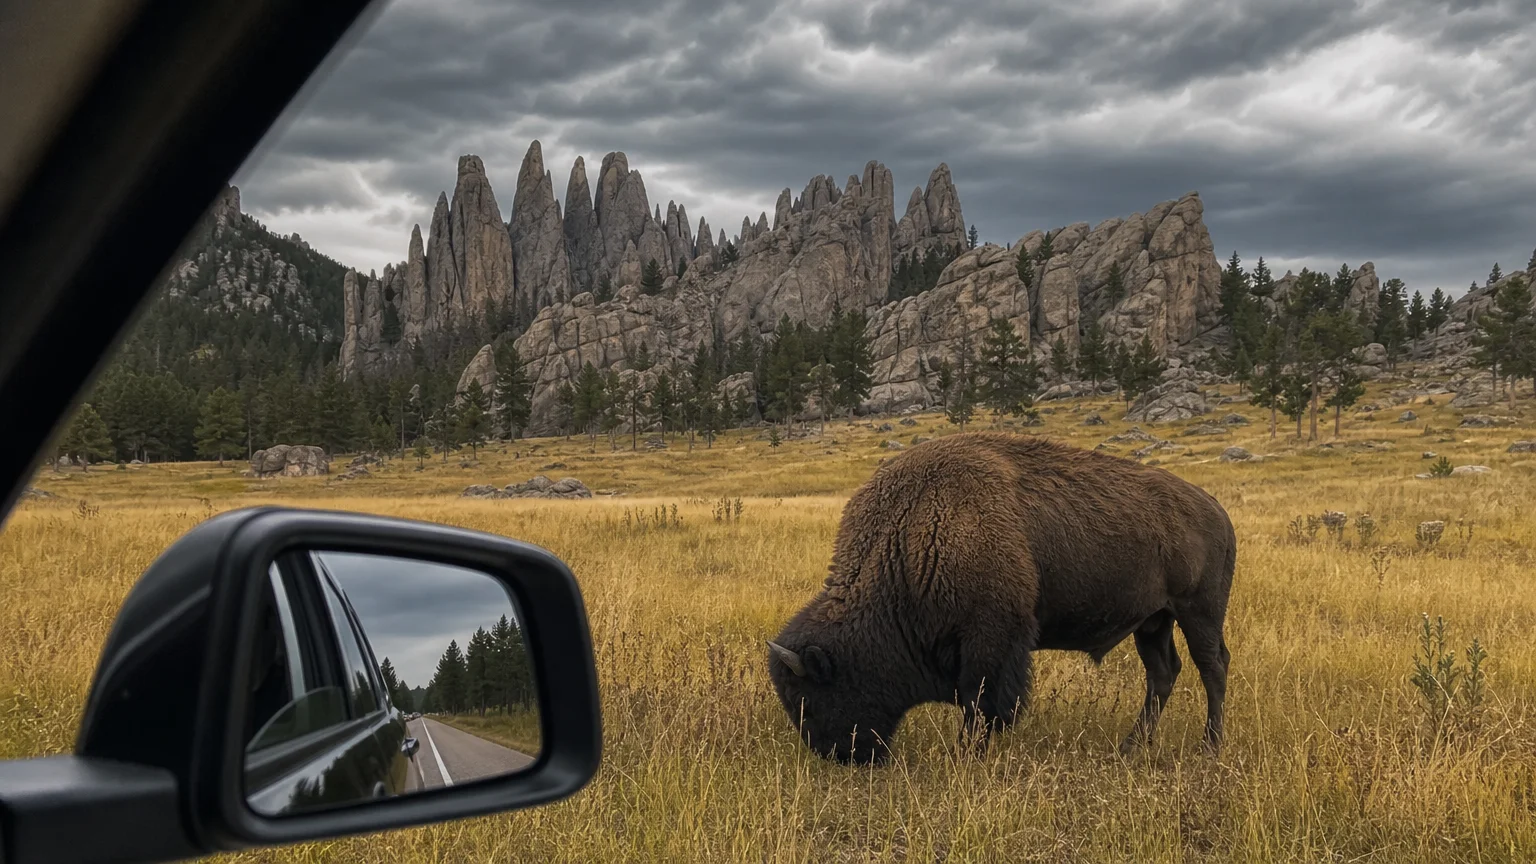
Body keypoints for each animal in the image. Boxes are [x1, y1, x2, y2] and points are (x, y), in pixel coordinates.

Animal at [767, 432, 1236, 763]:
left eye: (807, 700)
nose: (839, 756)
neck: (912, 535)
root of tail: (1217, 509)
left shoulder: (991, 640)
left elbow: (982, 702)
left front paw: (965, 754)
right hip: (1153, 622)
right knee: (1163, 674)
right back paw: (1131, 747)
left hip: (1198, 612)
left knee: (1212, 668)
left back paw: (1210, 747)